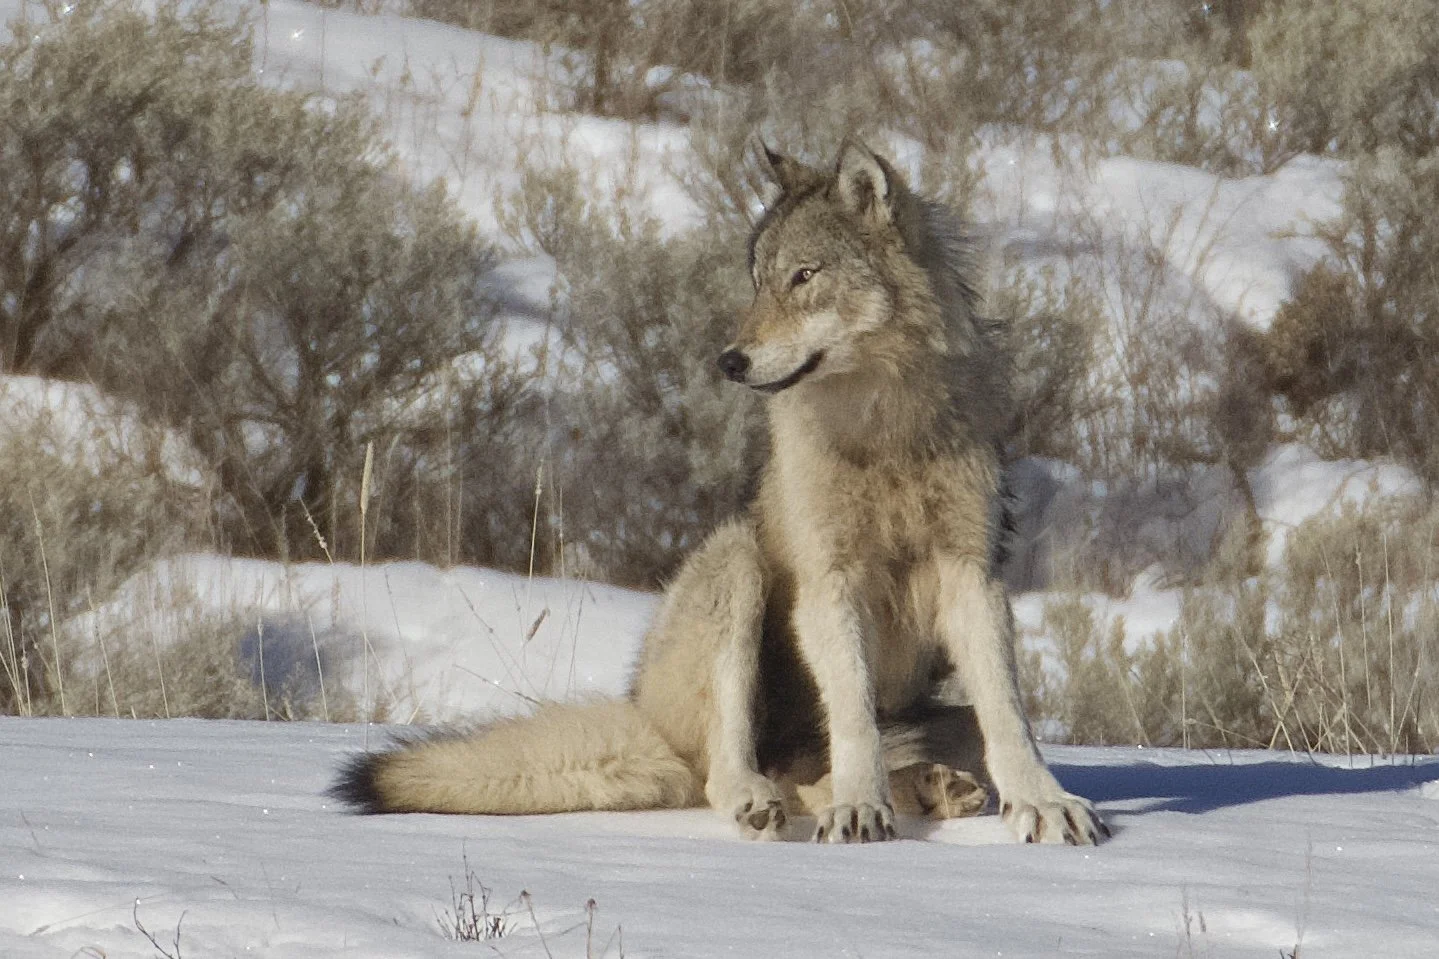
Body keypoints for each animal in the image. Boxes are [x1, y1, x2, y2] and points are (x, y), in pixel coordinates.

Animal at [331, 142, 1108, 846]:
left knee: (828, 770)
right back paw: (770, 800)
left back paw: (933, 788)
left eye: (803, 276)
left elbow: (1009, 716)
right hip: (735, 565)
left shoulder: (971, 574)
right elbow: (853, 717)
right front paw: (861, 809)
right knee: (730, 771)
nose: (729, 360)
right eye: (757, 281)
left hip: (924, 708)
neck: (881, 426)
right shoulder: (829, 581)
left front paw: (1044, 804)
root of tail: (645, 719)